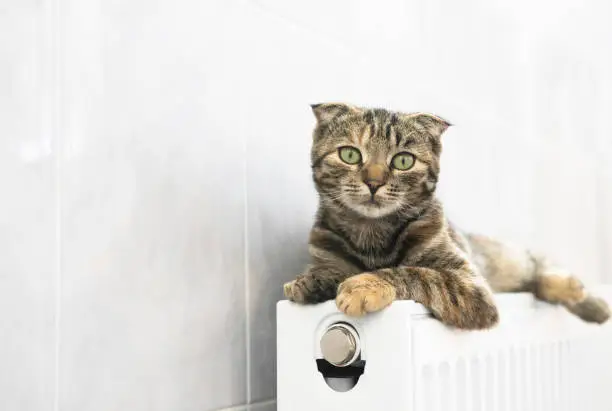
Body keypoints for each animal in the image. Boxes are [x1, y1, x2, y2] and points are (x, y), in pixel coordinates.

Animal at [284, 103, 608, 332]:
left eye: (403, 160)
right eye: (350, 155)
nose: (374, 182)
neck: (372, 235)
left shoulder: (470, 285)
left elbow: (414, 273)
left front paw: (365, 284)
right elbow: (331, 270)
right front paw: (308, 282)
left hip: (512, 261)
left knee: (541, 268)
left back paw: (587, 298)